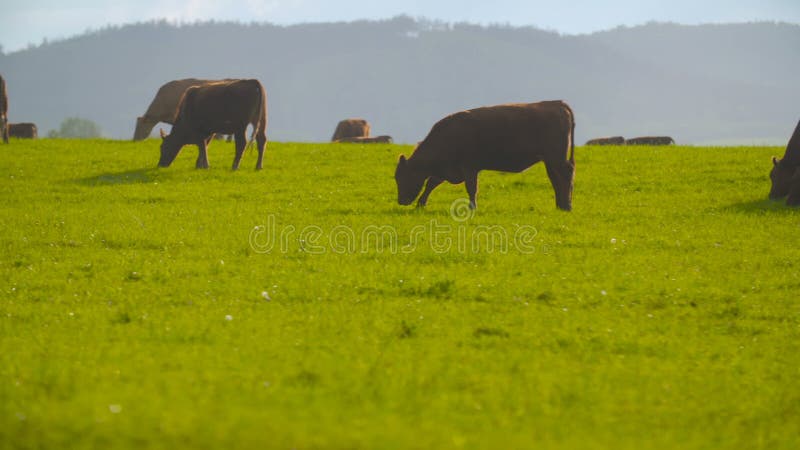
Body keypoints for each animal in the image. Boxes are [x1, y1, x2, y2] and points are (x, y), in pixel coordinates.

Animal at [396, 100, 576, 211]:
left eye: (403, 176)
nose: (401, 201)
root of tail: (557, 103)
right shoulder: (448, 170)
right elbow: (431, 183)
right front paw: (420, 204)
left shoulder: (469, 167)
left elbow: (471, 188)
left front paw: (472, 207)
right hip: (550, 160)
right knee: (556, 179)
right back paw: (560, 205)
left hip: (557, 158)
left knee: (565, 176)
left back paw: (566, 206)